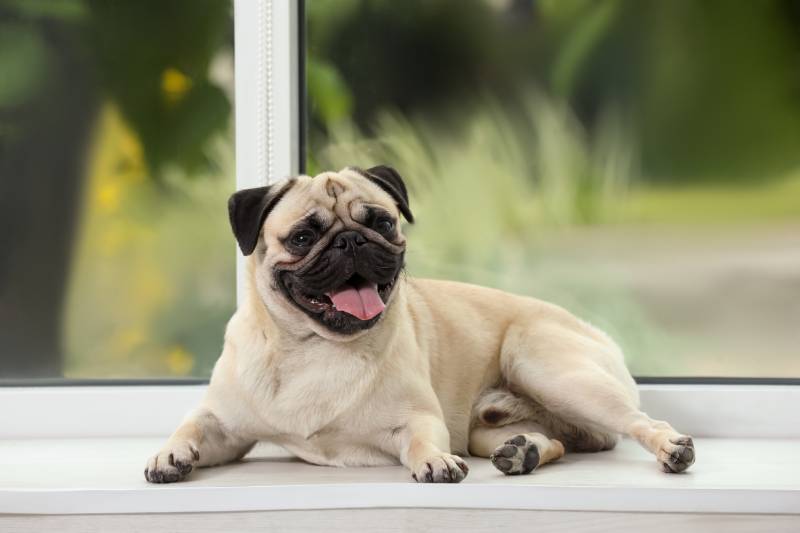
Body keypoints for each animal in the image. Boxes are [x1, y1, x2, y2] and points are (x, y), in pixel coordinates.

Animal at [145, 165, 692, 482]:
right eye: (303, 237)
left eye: (382, 222)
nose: (351, 240)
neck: (313, 347)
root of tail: (597, 333)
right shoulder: (224, 427)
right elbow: (191, 426)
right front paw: (168, 454)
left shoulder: (418, 418)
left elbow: (421, 440)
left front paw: (434, 461)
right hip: (490, 425)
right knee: (553, 439)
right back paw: (523, 452)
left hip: (550, 369)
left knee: (640, 422)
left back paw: (670, 449)